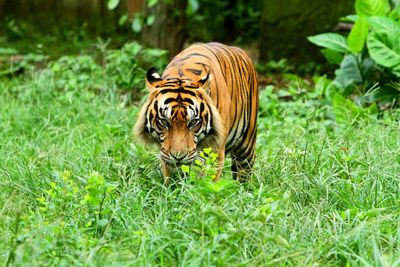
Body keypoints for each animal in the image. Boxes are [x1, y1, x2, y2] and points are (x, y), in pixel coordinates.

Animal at [134, 43, 260, 182]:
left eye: (193, 122)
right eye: (164, 122)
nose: (178, 157)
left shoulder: (215, 148)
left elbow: (209, 179)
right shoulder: (165, 152)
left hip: (246, 145)